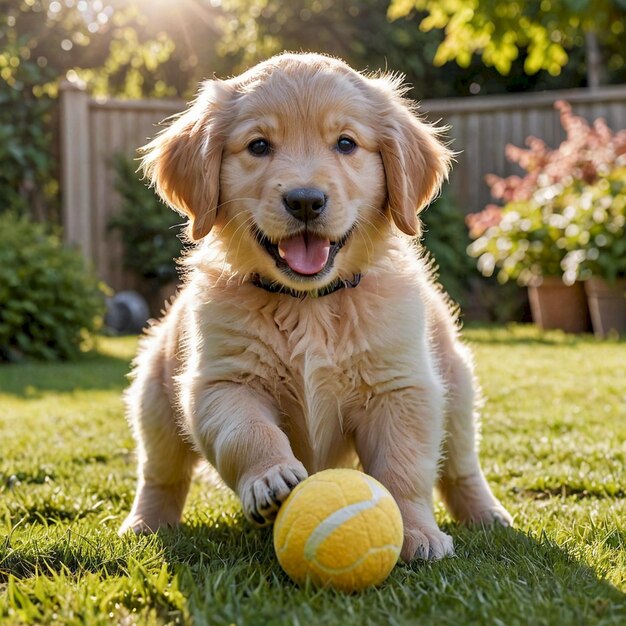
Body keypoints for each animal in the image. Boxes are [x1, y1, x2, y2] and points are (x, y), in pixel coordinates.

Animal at [118, 53, 512, 560]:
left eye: (345, 143)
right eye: (259, 145)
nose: (305, 201)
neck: (309, 306)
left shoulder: (402, 387)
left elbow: (402, 467)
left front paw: (416, 532)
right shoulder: (221, 382)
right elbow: (247, 432)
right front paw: (270, 478)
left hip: (457, 388)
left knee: (462, 467)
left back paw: (488, 516)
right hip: (153, 396)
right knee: (161, 474)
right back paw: (145, 525)